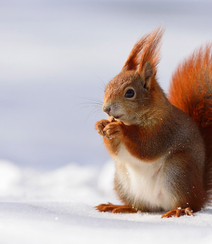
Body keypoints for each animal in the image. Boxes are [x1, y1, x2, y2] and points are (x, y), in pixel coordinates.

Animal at [94, 27, 212, 218]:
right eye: (107, 87)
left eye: (130, 93)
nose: (106, 109)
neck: (133, 120)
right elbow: (115, 151)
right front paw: (101, 125)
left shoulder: (165, 129)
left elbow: (147, 147)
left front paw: (120, 129)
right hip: (123, 181)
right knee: (141, 208)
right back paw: (119, 207)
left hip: (178, 170)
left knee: (190, 204)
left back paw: (179, 210)